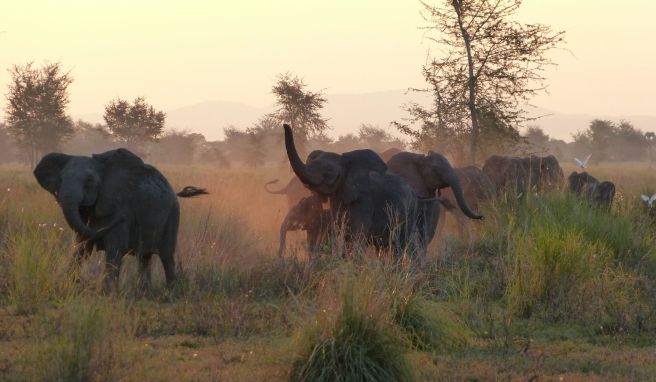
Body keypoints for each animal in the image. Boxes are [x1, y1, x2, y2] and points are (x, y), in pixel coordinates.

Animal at [33, 148, 206, 288]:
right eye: (61, 180)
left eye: (89, 181)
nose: (80, 282)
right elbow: (81, 247)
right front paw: (68, 286)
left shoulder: (120, 205)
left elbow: (114, 248)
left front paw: (106, 293)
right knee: (144, 257)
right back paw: (144, 292)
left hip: (172, 214)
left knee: (167, 256)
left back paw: (170, 291)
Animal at [284, 124, 422, 258]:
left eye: (329, 171)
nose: (285, 125)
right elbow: (340, 233)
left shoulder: (364, 201)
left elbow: (357, 237)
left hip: (410, 212)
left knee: (402, 243)